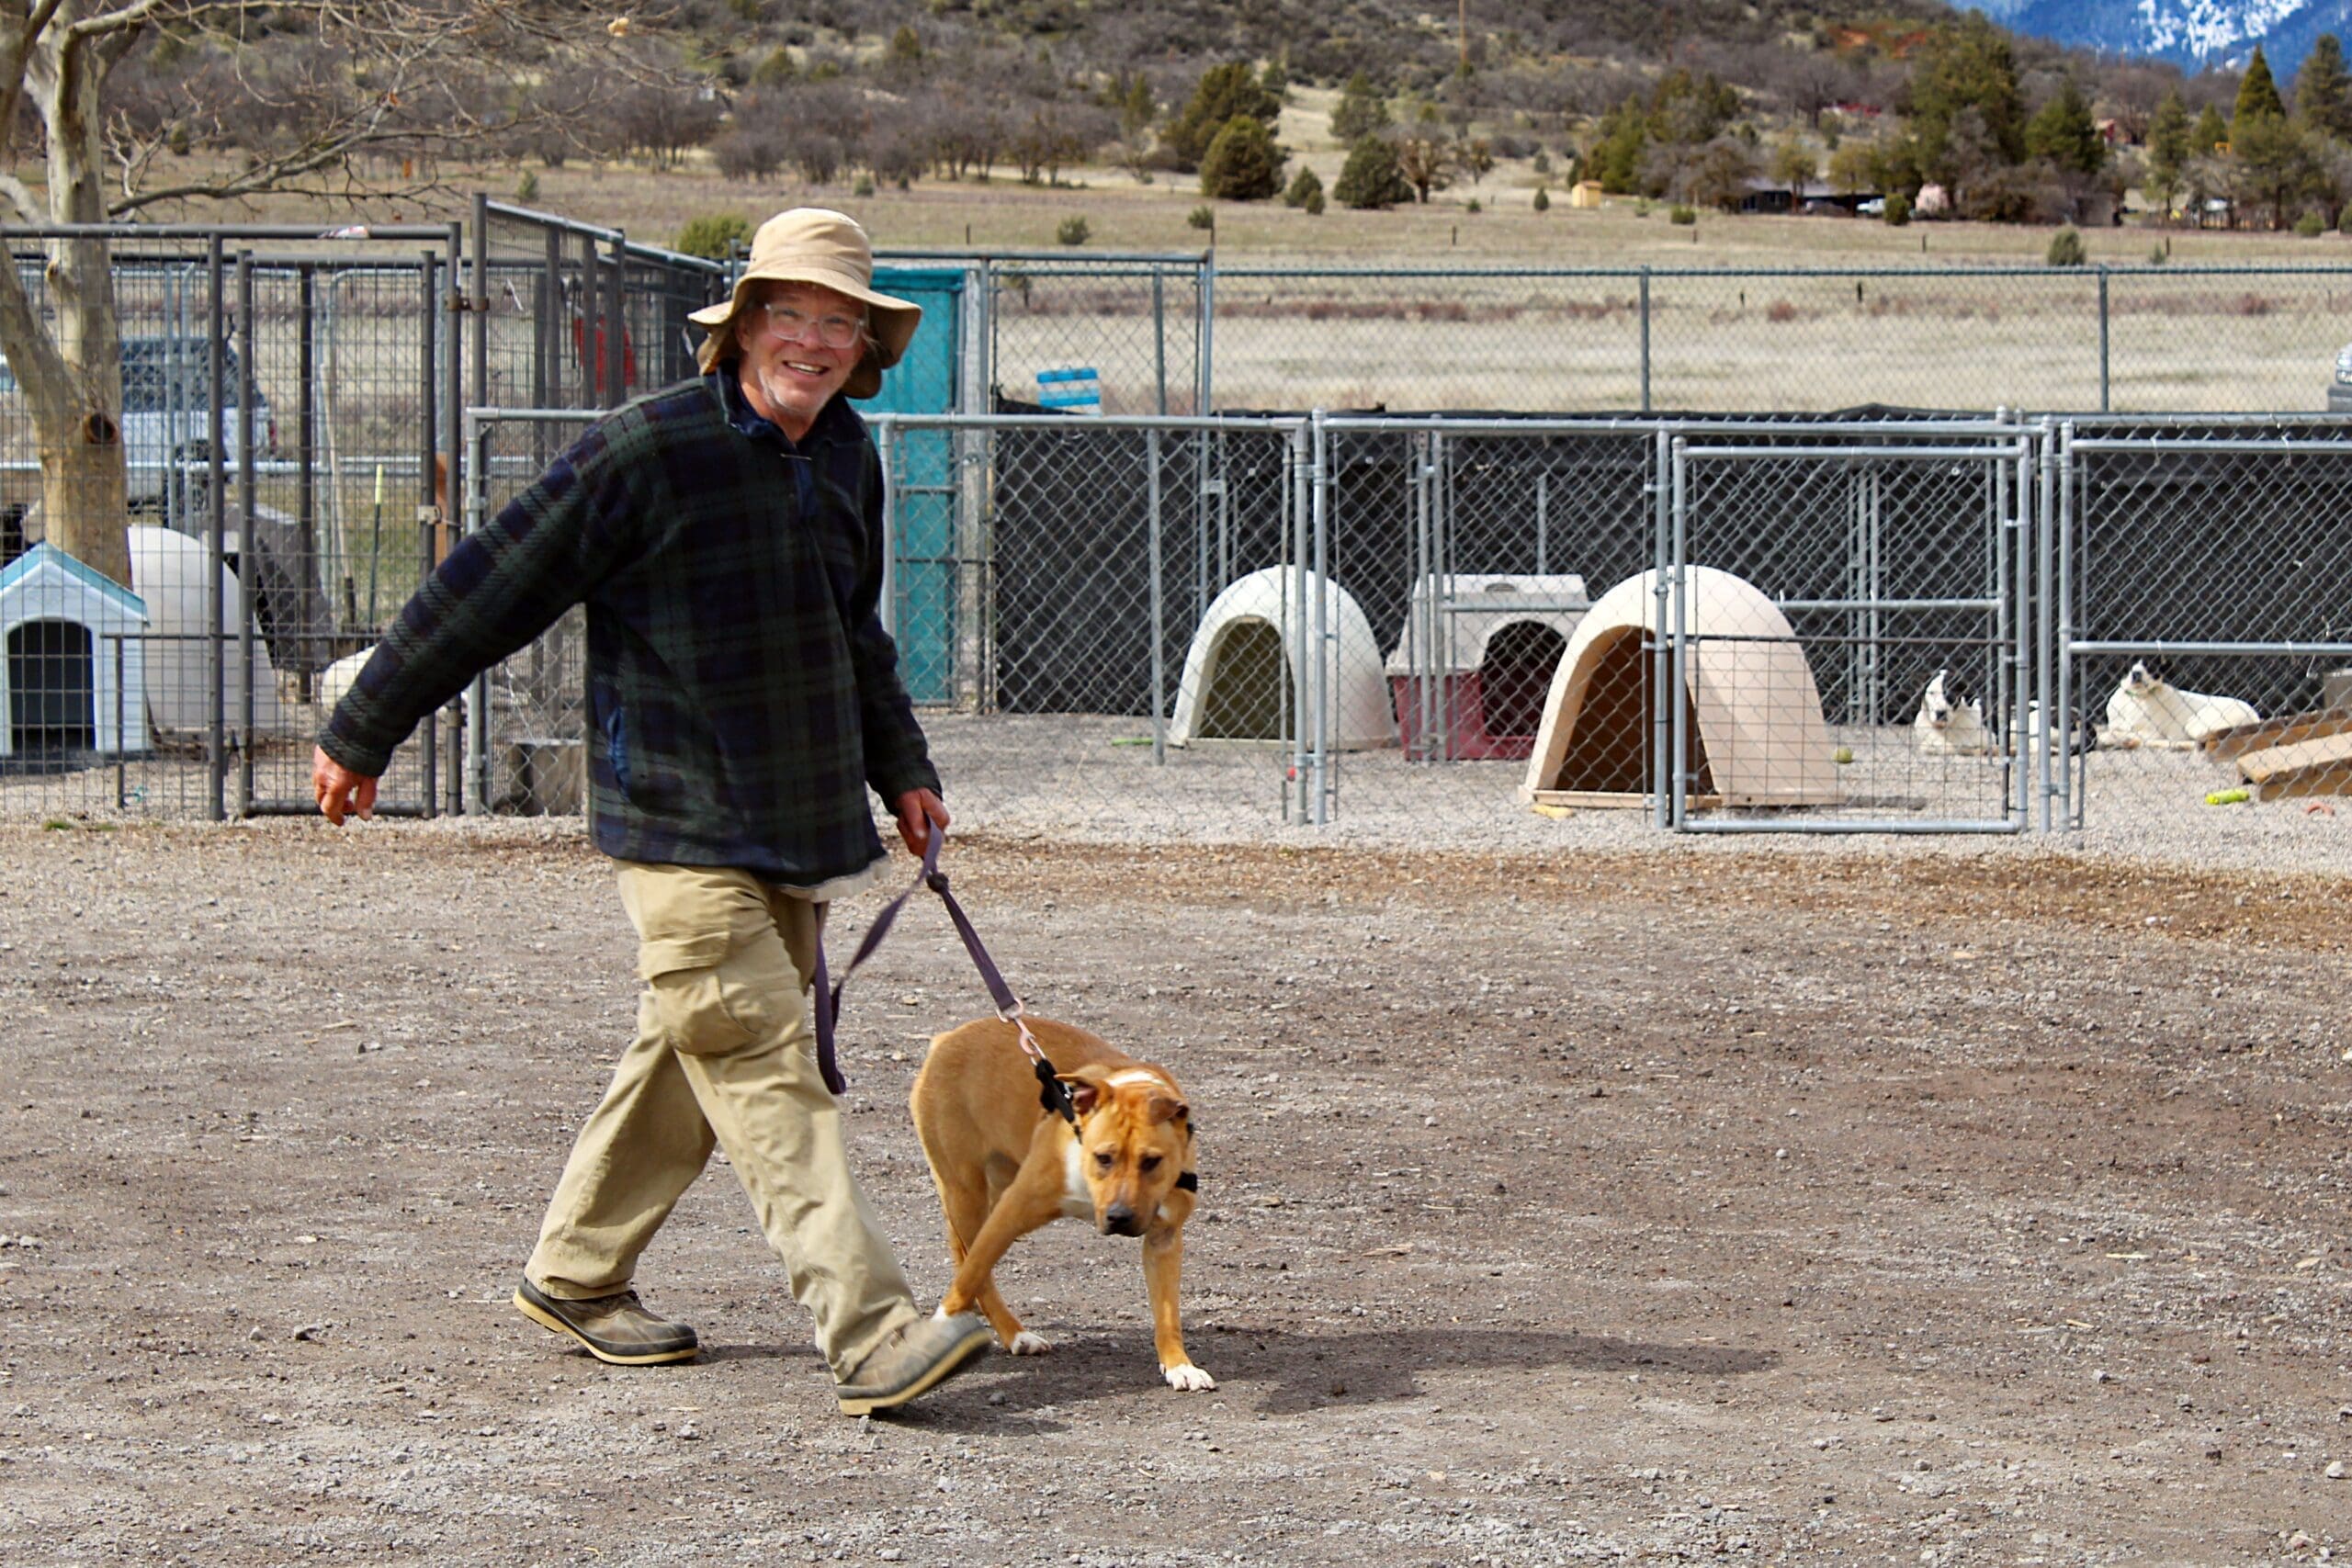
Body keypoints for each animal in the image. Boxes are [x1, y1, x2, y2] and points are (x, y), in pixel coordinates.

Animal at [903, 1010, 1213, 1392]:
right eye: (1103, 1157)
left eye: (1152, 1161)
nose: (1119, 1216)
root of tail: (946, 1039)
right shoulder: (1014, 1209)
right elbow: (970, 1277)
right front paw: (940, 1325)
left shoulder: (1163, 1239)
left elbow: (1168, 1313)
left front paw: (1179, 1365)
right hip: (966, 1192)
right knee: (976, 1268)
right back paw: (1014, 1334)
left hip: (990, 1190)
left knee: (964, 1254)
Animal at [2117, 658, 2257, 751]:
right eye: (2131, 663)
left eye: (2150, 666)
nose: (2136, 673)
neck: (2136, 697)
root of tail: (2253, 714)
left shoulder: (2151, 733)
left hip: (2195, 724)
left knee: (2198, 744)